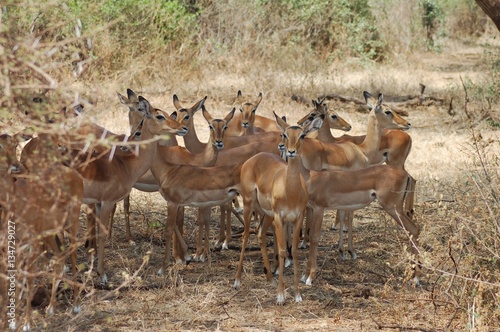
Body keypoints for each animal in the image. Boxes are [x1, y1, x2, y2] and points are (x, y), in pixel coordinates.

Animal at [233, 113, 320, 304]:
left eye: (302, 135)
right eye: (285, 134)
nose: (291, 151)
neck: (291, 190)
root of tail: (253, 159)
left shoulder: (297, 218)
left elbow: (293, 251)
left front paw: (297, 294)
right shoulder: (281, 218)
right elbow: (281, 251)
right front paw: (281, 295)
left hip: (267, 215)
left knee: (260, 234)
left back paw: (270, 279)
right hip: (249, 205)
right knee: (245, 235)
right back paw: (237, 281)